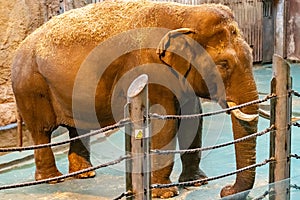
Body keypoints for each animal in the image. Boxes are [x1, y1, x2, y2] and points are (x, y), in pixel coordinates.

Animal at [11, 1, 258, 198]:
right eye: (223, 65)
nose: (225, 190)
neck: (184, 14)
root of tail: (20, 46)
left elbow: (193, 118)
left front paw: (196, 182)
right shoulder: (149, 68)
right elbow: (165, 123)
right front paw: (165, 193)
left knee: (77, 127)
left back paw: (85, 174)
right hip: (31, 85)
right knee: (42, 131)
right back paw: (54, 179)